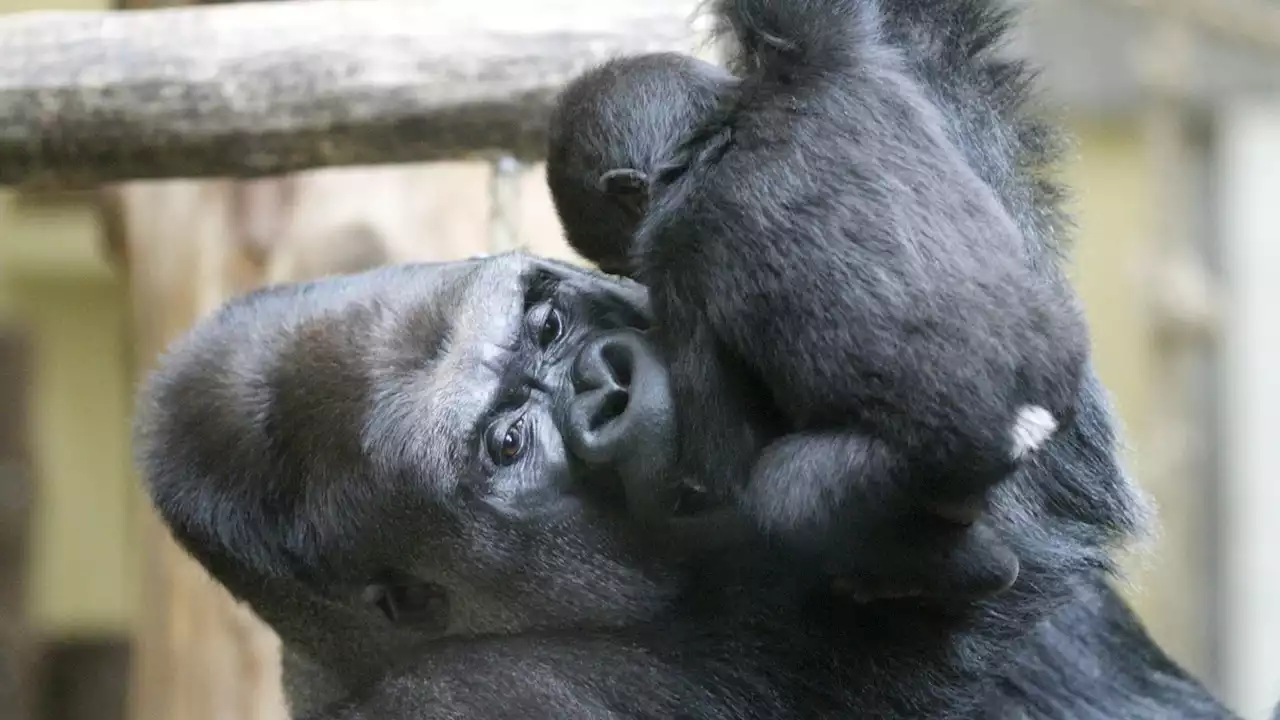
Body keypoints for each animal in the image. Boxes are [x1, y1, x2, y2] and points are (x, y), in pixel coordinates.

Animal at [547, 0, 1090, 599]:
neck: (714, 136)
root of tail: (1027, 422)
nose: (625, 276)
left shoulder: (674, 258)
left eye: (624, 263)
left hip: (898, 471)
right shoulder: (833, 54)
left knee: (787, 499)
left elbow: (721, 466)